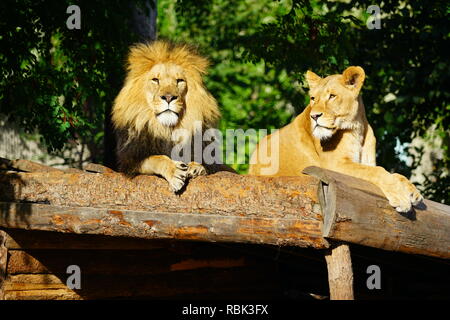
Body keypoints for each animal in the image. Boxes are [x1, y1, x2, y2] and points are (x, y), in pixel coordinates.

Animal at [111, 39, 232, 190]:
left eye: (179, 81)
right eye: (155, 80)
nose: (168, 97)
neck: (167, 129)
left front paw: (196, 168)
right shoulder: (130, 161)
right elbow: (156, 158)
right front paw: (175, 171)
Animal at [250, 67, 422, 212]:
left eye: (332, 96)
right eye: (313, 98)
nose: (314, 116)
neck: (357, 128)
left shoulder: (367, 161)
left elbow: (394, 174)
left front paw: (413, 192)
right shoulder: (335, 165)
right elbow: (378, 171)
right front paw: (402, 198)